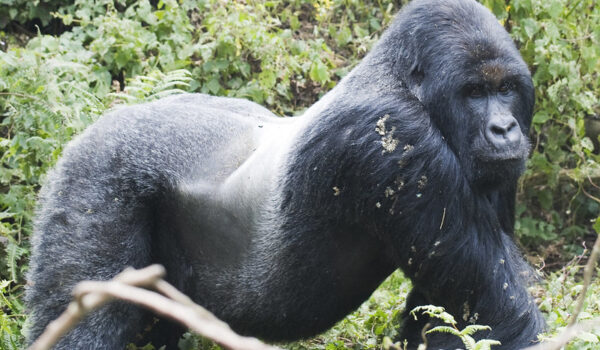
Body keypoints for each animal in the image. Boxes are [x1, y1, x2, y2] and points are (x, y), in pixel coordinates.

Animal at [27, 0, 544, 348]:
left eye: (506, 89)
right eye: (474, 92)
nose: (504, 129)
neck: (402, 82)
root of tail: (100, 122)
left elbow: (446, 314)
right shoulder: (396, 138)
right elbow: (496, 314)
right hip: (97, 173)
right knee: (88, 318)